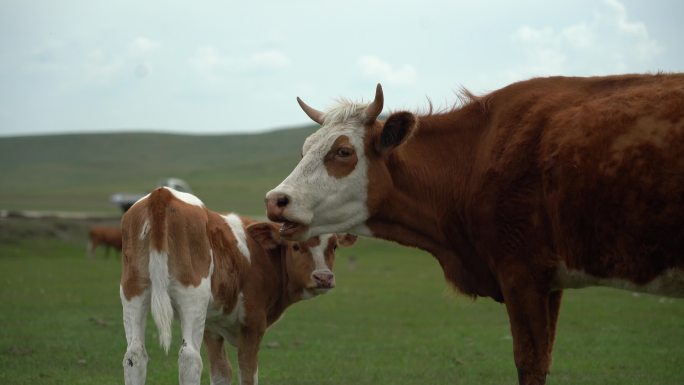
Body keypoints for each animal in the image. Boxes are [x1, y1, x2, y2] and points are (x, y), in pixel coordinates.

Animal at [118, 188, 356, 384]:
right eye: (296, 246)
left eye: (334, 246)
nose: (323, 277)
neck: (263, 254)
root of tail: (162, 194)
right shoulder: (253, 325)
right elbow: (247, 373)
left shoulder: (212, 328)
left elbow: (222, 373)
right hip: (192, 297)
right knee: (189, 358)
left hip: (133, 292)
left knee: (134, 356)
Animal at [266, 75, 684, 384]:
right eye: (305, 148)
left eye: (342, 152)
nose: (275, 199)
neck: (475, 157)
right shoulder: (551, 283)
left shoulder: (522, 273)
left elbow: (531, 362)